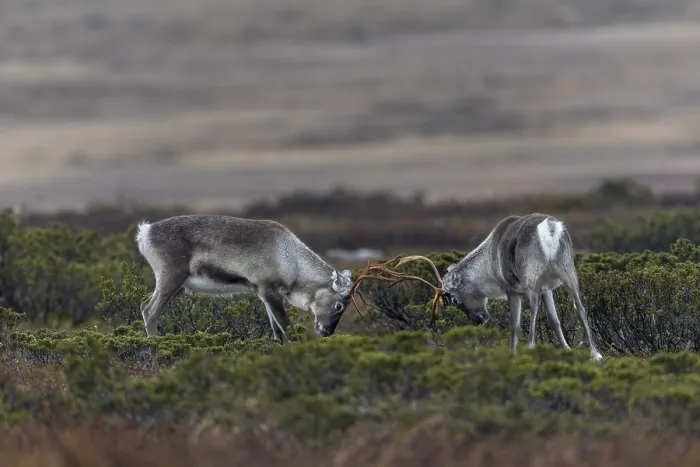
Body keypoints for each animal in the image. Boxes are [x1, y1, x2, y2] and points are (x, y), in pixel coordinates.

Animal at [134, 214, 355, 342]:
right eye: (339, 305)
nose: (327, 332)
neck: (293, 261)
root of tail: (145, 232)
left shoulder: (266, 295)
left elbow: (276, 331)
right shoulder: (269, 291)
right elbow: (286, 328)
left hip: (177, 284)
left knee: (144, 305)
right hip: (171, 276)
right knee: (150, 310)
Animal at [351, 213, 603, 361]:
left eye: (453, 299)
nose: (478, 319)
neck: (488, 264)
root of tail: (549, 229)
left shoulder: (512, 290)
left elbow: (514, 325)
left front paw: (514, 353)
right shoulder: (546, 287)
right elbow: (554, 320)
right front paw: (567, 350)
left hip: (530, 279)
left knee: (533, 309)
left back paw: (531, 348)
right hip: (568, 271)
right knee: (580, 307)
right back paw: (595, 354)